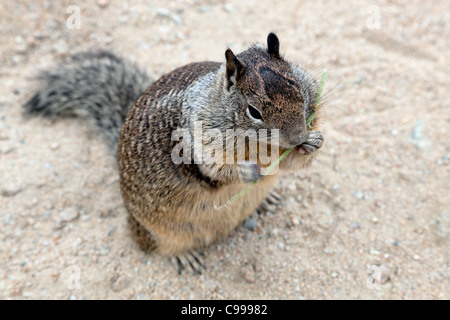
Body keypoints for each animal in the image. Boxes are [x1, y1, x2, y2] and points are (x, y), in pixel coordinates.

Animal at [23, 32, 324, 274]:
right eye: (254, 111)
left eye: (299, 89)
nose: (297, 137)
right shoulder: (199, 145)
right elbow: (217, 170)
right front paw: (247, 169)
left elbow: (289, 163)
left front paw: (313, 142)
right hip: (159, 233)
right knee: (160, 247)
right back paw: (184, 257)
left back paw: (266, 199)